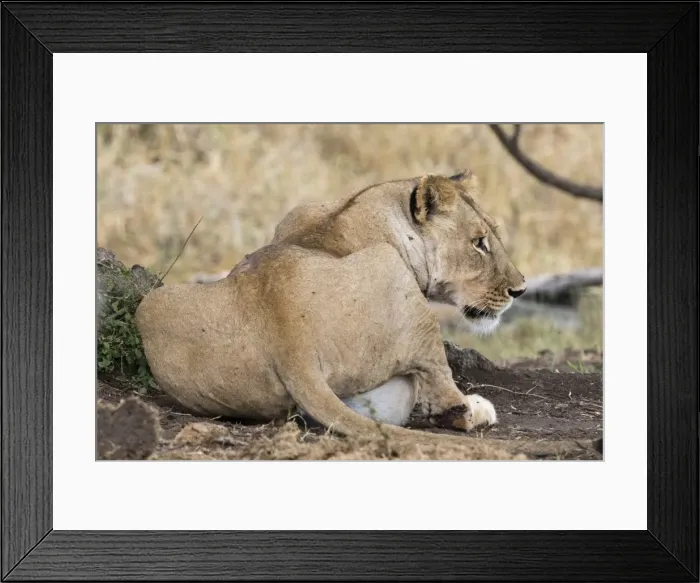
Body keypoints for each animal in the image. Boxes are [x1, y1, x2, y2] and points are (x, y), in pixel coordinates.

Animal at [135, 171, 588, 457]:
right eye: (479, 243)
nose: (520, 290)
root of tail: (289, 341)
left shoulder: (295, 212)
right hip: (397, 280)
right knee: (448, 402)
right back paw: (475, 408)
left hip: (153, 303)